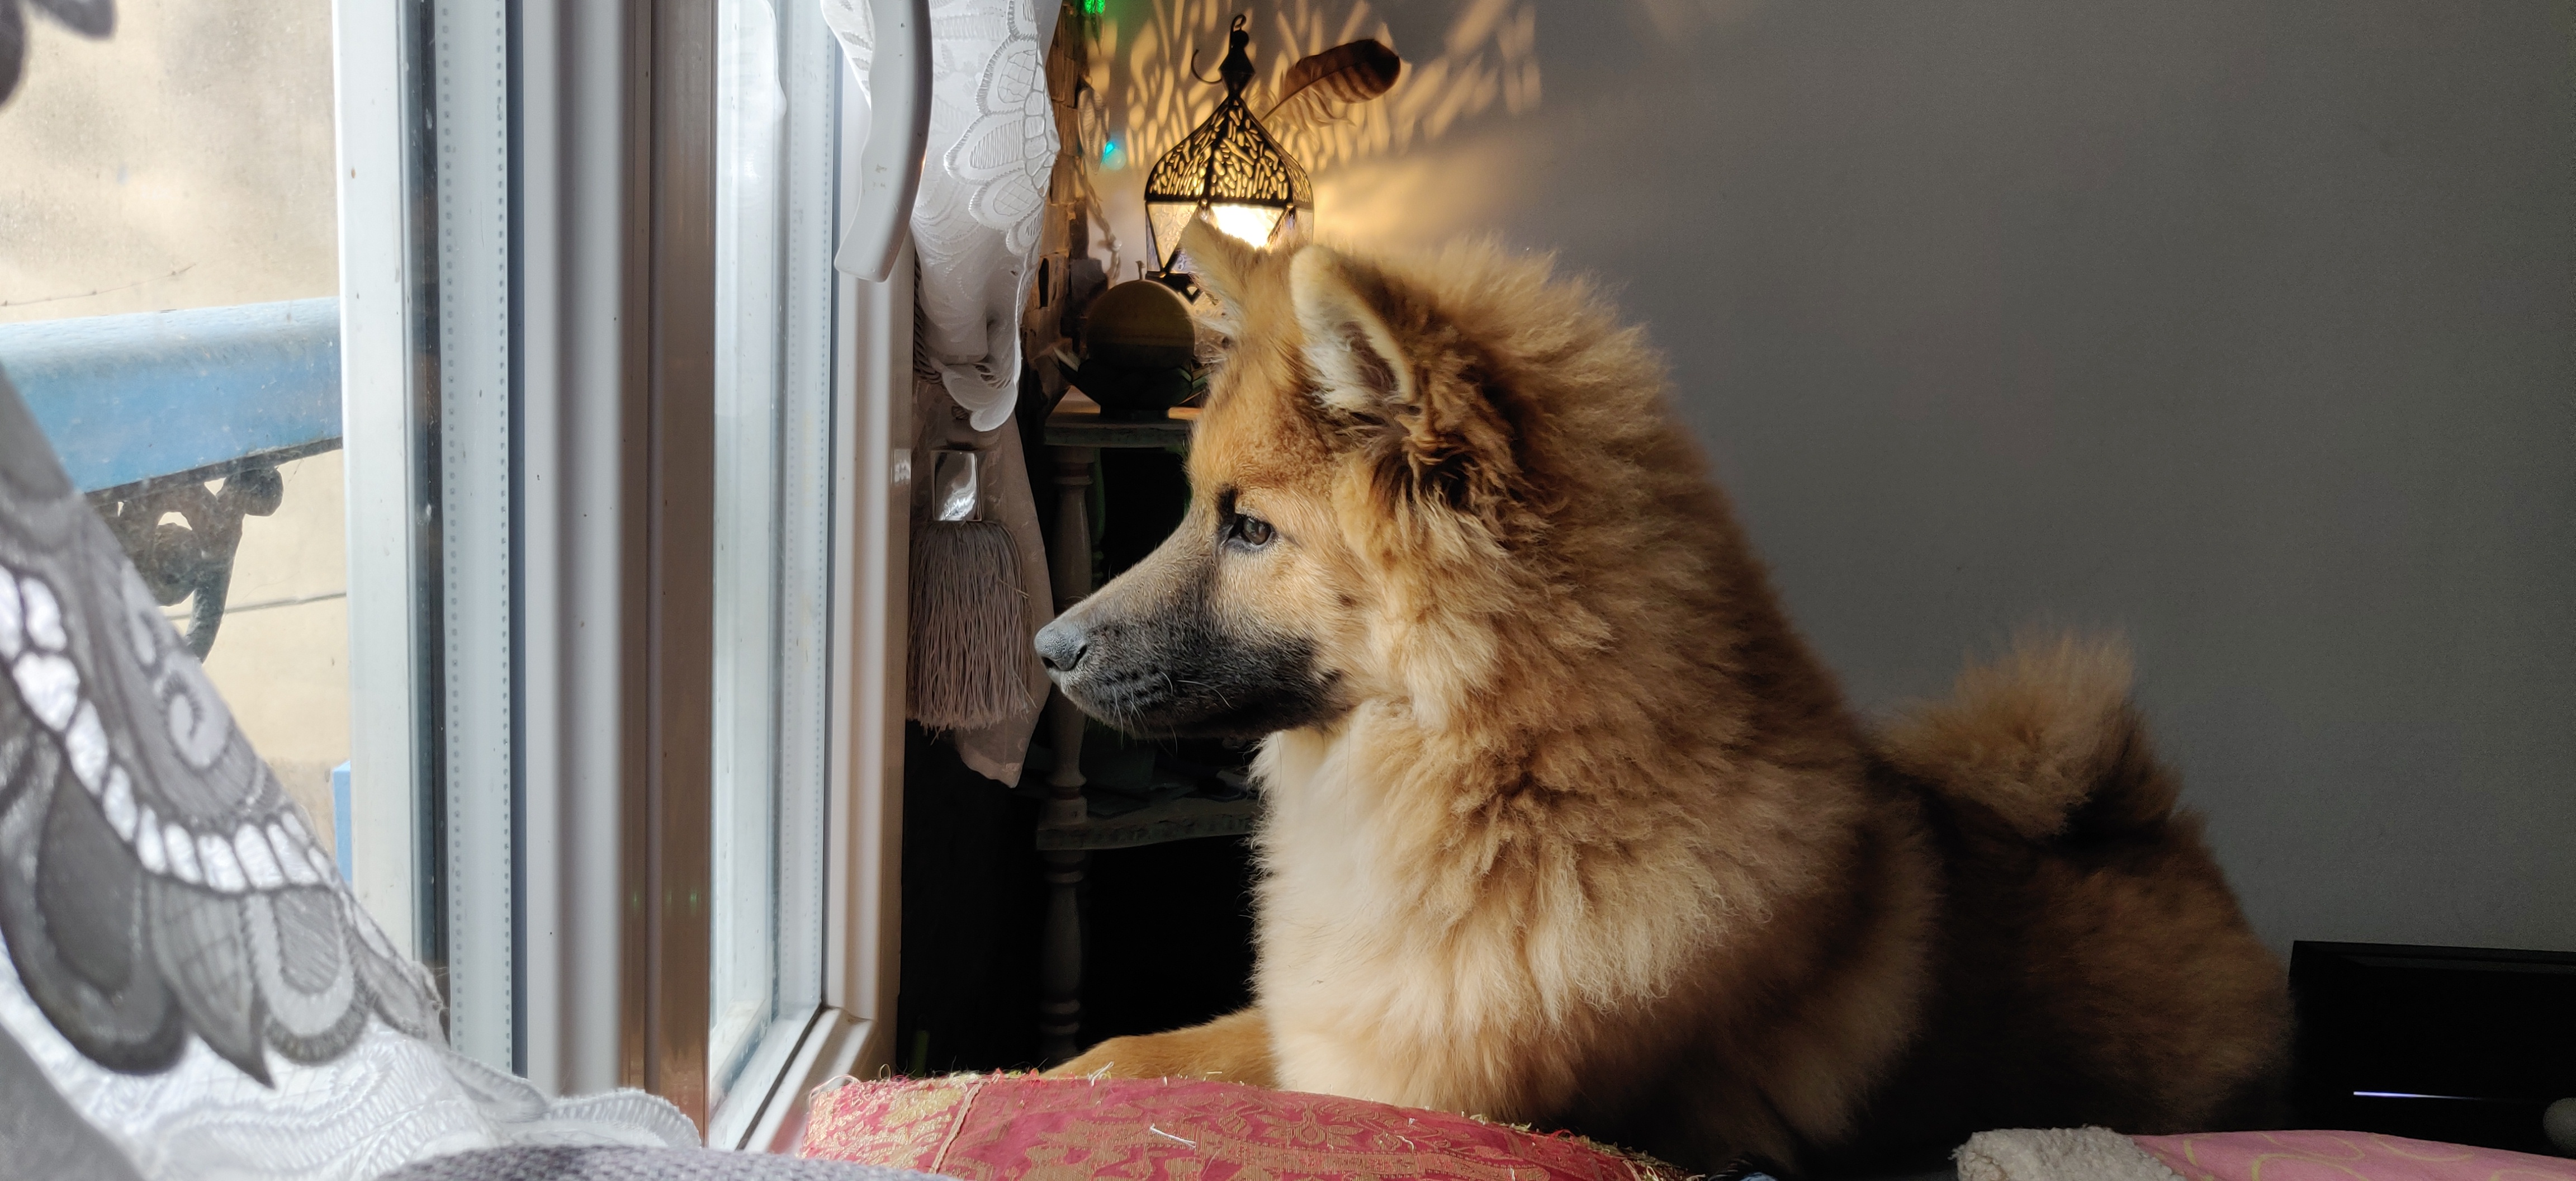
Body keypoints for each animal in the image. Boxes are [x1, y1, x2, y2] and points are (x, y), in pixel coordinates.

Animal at [1033, 220, 2289, 1173]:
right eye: (1196, 508)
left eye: (1249, 528)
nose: (1046, 646)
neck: (1508, 780)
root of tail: (2156, 836)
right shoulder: (1331, 1020)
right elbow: (1171, 1046)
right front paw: (1067, 1068)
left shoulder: (1424, 1084)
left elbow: (1262, 1088)